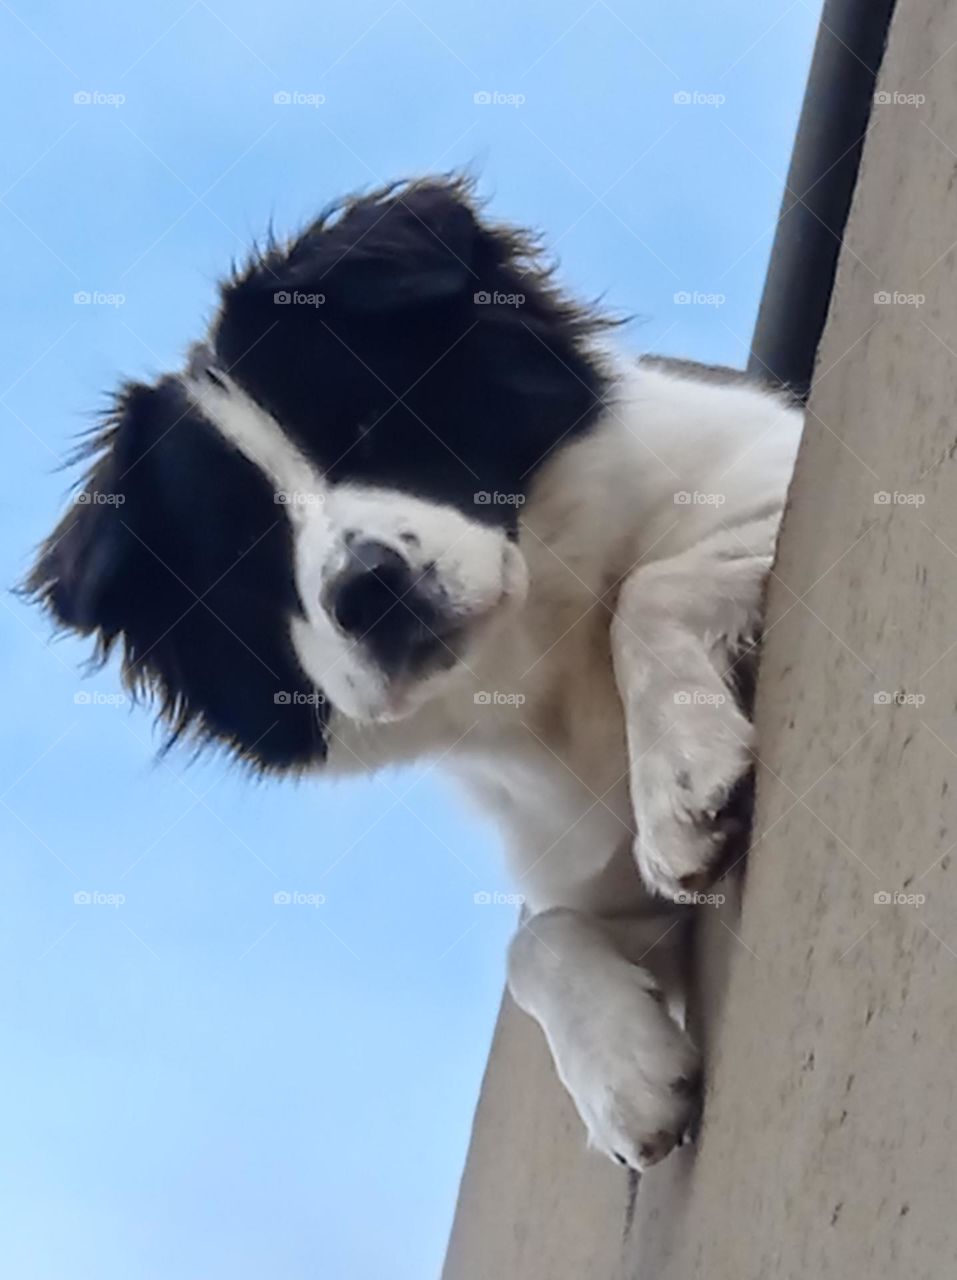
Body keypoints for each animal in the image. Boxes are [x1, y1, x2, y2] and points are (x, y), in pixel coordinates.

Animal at [29, 177, 803, 1172]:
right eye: (247, 551)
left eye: (366, 421)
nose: (368, 591)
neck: (538, 658)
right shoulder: (581, 866)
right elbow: (534, 943)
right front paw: (625, 1078)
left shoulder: (770, 477)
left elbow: (649, 588)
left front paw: (680, 786)